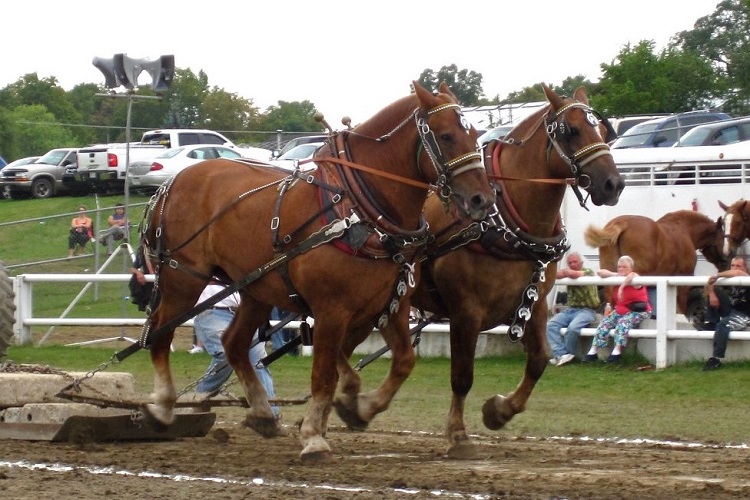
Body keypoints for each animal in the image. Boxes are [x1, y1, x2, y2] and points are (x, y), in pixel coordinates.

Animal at [140, 83, 500, 464]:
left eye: (474, 134)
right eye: (446, 136)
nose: (482, 199)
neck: (359, 211)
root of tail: (172, 181)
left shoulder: (393, 304)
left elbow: (403, 361)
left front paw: (359, 408)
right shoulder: (332, 310)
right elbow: (325, 374)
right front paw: (315, 436)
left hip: (256, 288)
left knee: (233, 343)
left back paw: (262, 413)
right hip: (184, 278)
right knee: (160, 333)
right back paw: (163, 406)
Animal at [340, 82, 624, 458]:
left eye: (603, 131)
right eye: (573, 130)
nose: (613, 184)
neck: (505, 220)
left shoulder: (535, 305)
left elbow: (539, 360)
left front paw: (499, 411)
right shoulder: (466, 311)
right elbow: (462, 375)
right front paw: (459, 434)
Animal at [584, 210, 732, 312]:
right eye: (723, 237)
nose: (726, 261)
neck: (684, 230)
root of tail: (623, 223)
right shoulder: (684, 280)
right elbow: (681, 307)